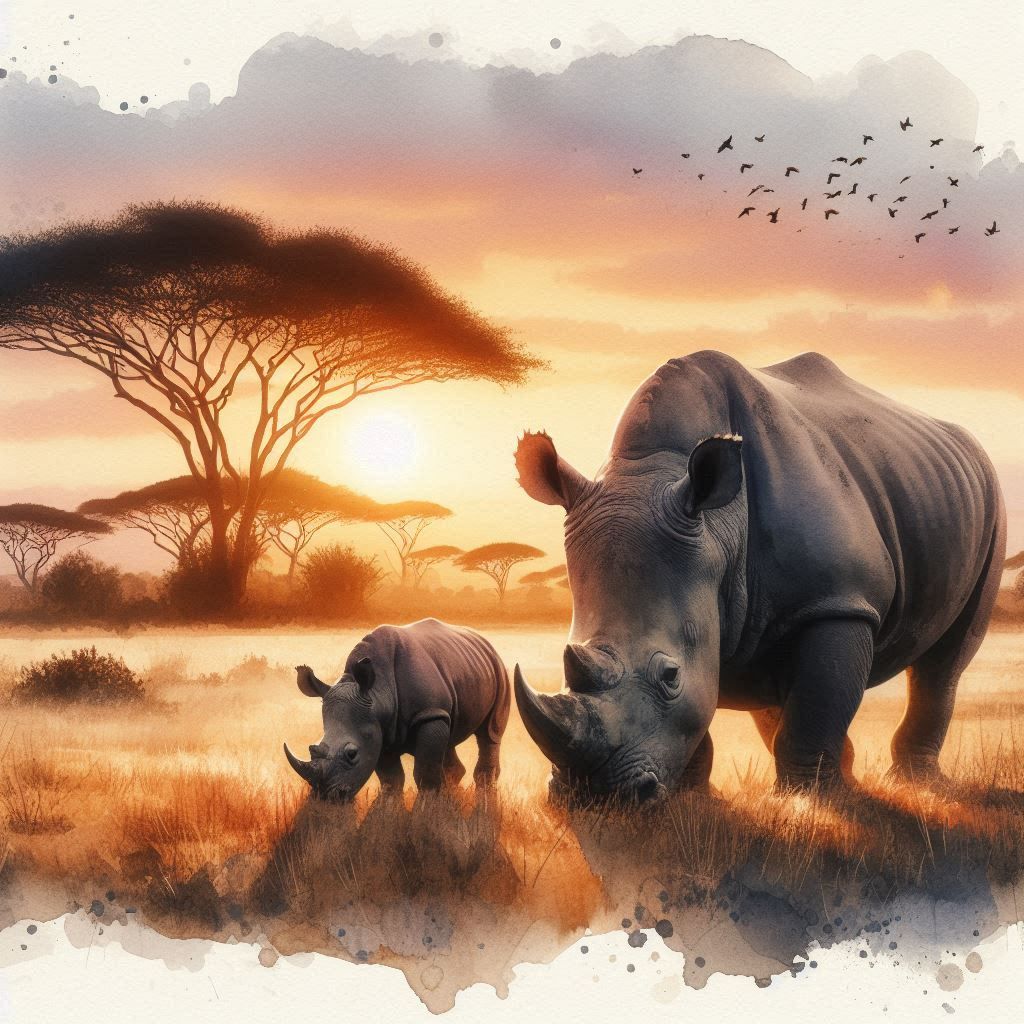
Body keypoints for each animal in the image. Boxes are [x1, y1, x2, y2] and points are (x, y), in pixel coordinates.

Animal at [284, 618, 510, 800]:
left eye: (352, 754)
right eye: (313, 749)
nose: (325, 796)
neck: (377, 692)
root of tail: (482, 640)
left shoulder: (428, 714)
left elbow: (425, 772)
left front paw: (429, 808)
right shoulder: (378, 727)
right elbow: (390, 777)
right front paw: (390, 803)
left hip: (499, 669)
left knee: (490, 734)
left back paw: (485, 791)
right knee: (449, 736)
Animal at [513, 350, 1005, 803]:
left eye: (670, 675)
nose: (591, 797)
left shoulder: (840, 599)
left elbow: (815, 704)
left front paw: (809, 805)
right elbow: (718, 703)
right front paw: (694, 802)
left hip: (990, 503)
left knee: (943, 663)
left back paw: (915, 784)